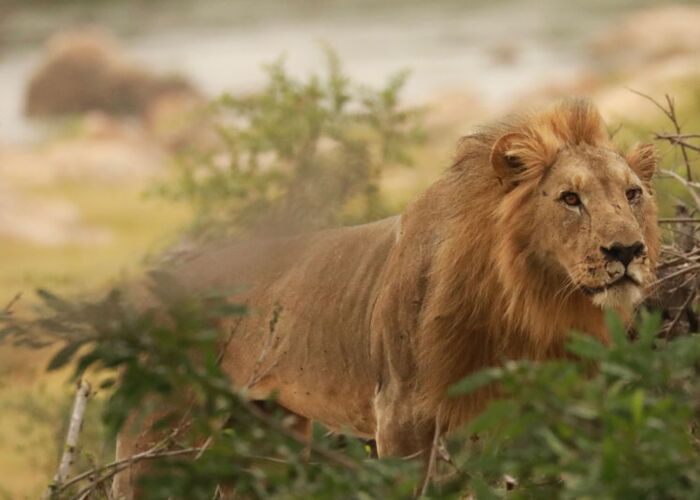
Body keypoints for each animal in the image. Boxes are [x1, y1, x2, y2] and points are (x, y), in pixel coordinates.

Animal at [114, 98, 659, 496]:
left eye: (632, 194)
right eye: (570, 199)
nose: (627, 250)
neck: (530, 302)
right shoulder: (402, 417)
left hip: (267, 433)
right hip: (159, 431)